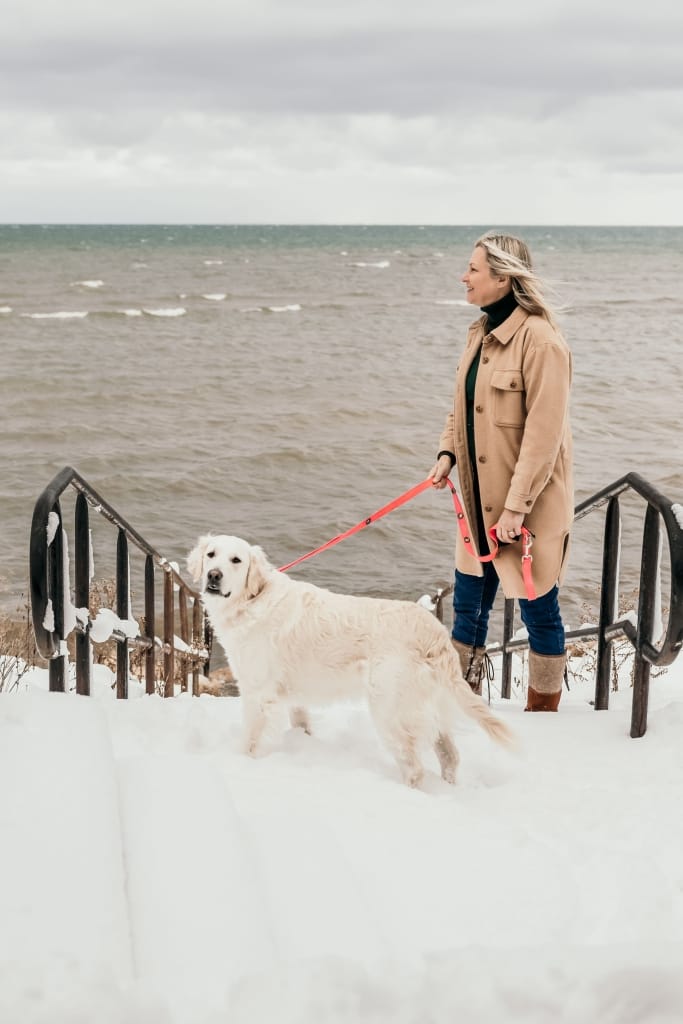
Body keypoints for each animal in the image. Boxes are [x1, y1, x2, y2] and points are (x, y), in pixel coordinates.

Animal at [187, 532, 511, 786]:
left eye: (236, 560)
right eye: (211, 554)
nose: (213, 576)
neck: (253, 598)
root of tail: (434, 632)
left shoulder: (259, 693)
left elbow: (250, 740)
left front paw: (240, 763)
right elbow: (300, 721)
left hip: (389, 710)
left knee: (415, 769)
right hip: (429, 707)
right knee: (450, 756)